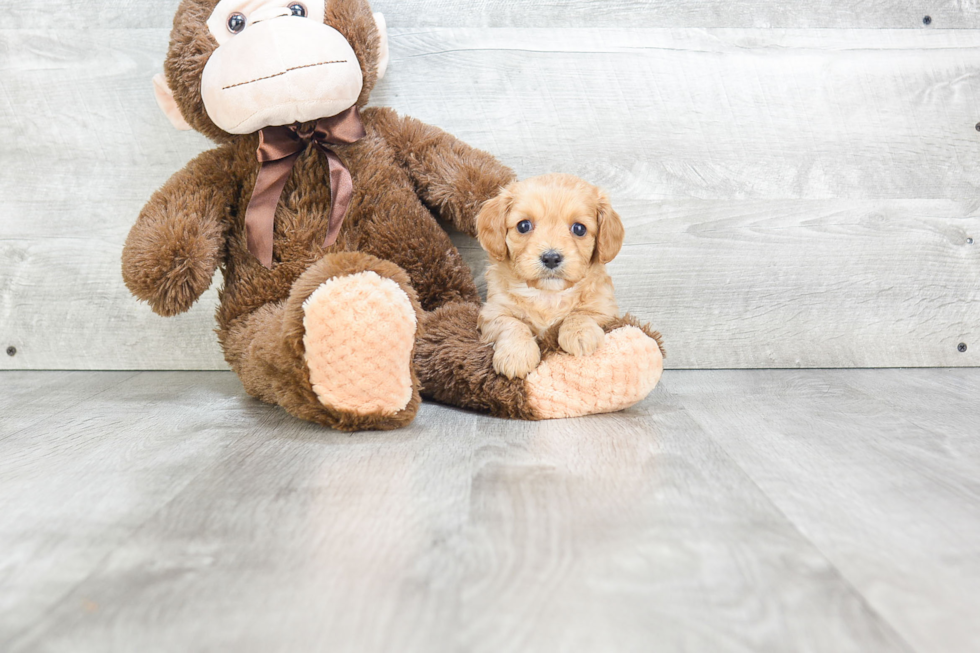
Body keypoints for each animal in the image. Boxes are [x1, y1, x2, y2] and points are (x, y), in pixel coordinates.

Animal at [476, 173, 628, 380]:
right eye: (523, 226)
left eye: (579, 229)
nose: (551, 258)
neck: (548, 294)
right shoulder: (492, 312)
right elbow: (512, 323)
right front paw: (516, 354)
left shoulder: (607, 311)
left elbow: (580, 314)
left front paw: (580, 334)